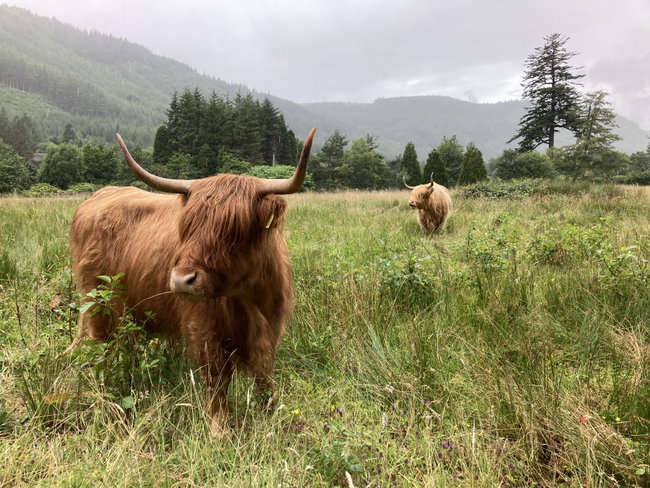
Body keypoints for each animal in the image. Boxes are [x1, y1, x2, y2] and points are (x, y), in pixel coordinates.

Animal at [66, 128, 316, 437]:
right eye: (187, 226)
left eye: (235, 230)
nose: (182, 280)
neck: (249, 301)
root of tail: (99, 195)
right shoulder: (203, 328)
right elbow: (217, 378)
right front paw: (219, 430)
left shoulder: (271, 328)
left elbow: (264, 374)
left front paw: (271, 414)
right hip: (98, 303)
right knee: (101, 352)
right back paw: (104, 397)